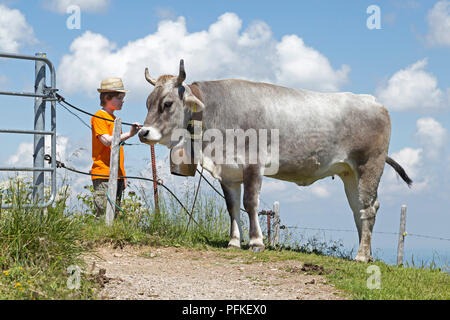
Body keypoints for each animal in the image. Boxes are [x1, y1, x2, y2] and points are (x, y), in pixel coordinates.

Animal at [138, 59, 412, 262]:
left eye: (167, 104)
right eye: (147, 102)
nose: (143, 132)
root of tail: (374, 102)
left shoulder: (253, 165)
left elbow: (250, 203)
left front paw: (256, 242)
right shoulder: (228, 172)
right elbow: (232, 206)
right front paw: (234, 241)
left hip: (369, 166)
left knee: (368, 209)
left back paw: (362, 255)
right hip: (349, 173)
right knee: (358, 209)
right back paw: (366, 253)